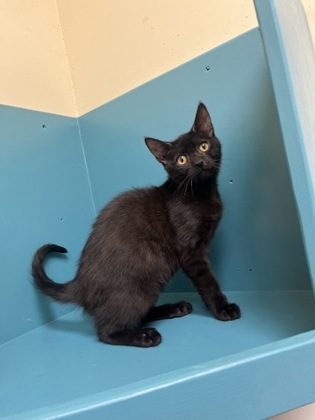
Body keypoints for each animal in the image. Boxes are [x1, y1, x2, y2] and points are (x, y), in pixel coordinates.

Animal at [32, 102, 241, 348]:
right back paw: (144, 335)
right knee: (107, 331)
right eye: (181, 160)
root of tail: (81, 284)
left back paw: (173, 308)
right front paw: (223, 308)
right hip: (140, 288)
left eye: (203, 146)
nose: (199, 163)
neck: (201, 193)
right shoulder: (191, 252)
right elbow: (208, 282)